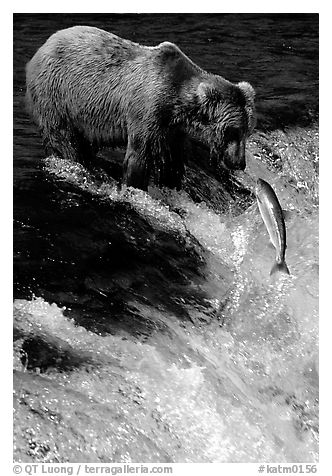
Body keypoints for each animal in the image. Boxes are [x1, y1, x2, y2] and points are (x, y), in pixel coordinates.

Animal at [25, 25, 256, 190]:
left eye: (246, 131)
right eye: (231, 131)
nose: (239, 163)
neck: (176, 102)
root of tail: (42, 47)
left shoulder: (172, 129)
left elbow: (172, 160)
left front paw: (171, 183)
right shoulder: (146, 110)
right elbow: (140, 154)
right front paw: (135, 187)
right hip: (57, 96)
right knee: (64, 139)